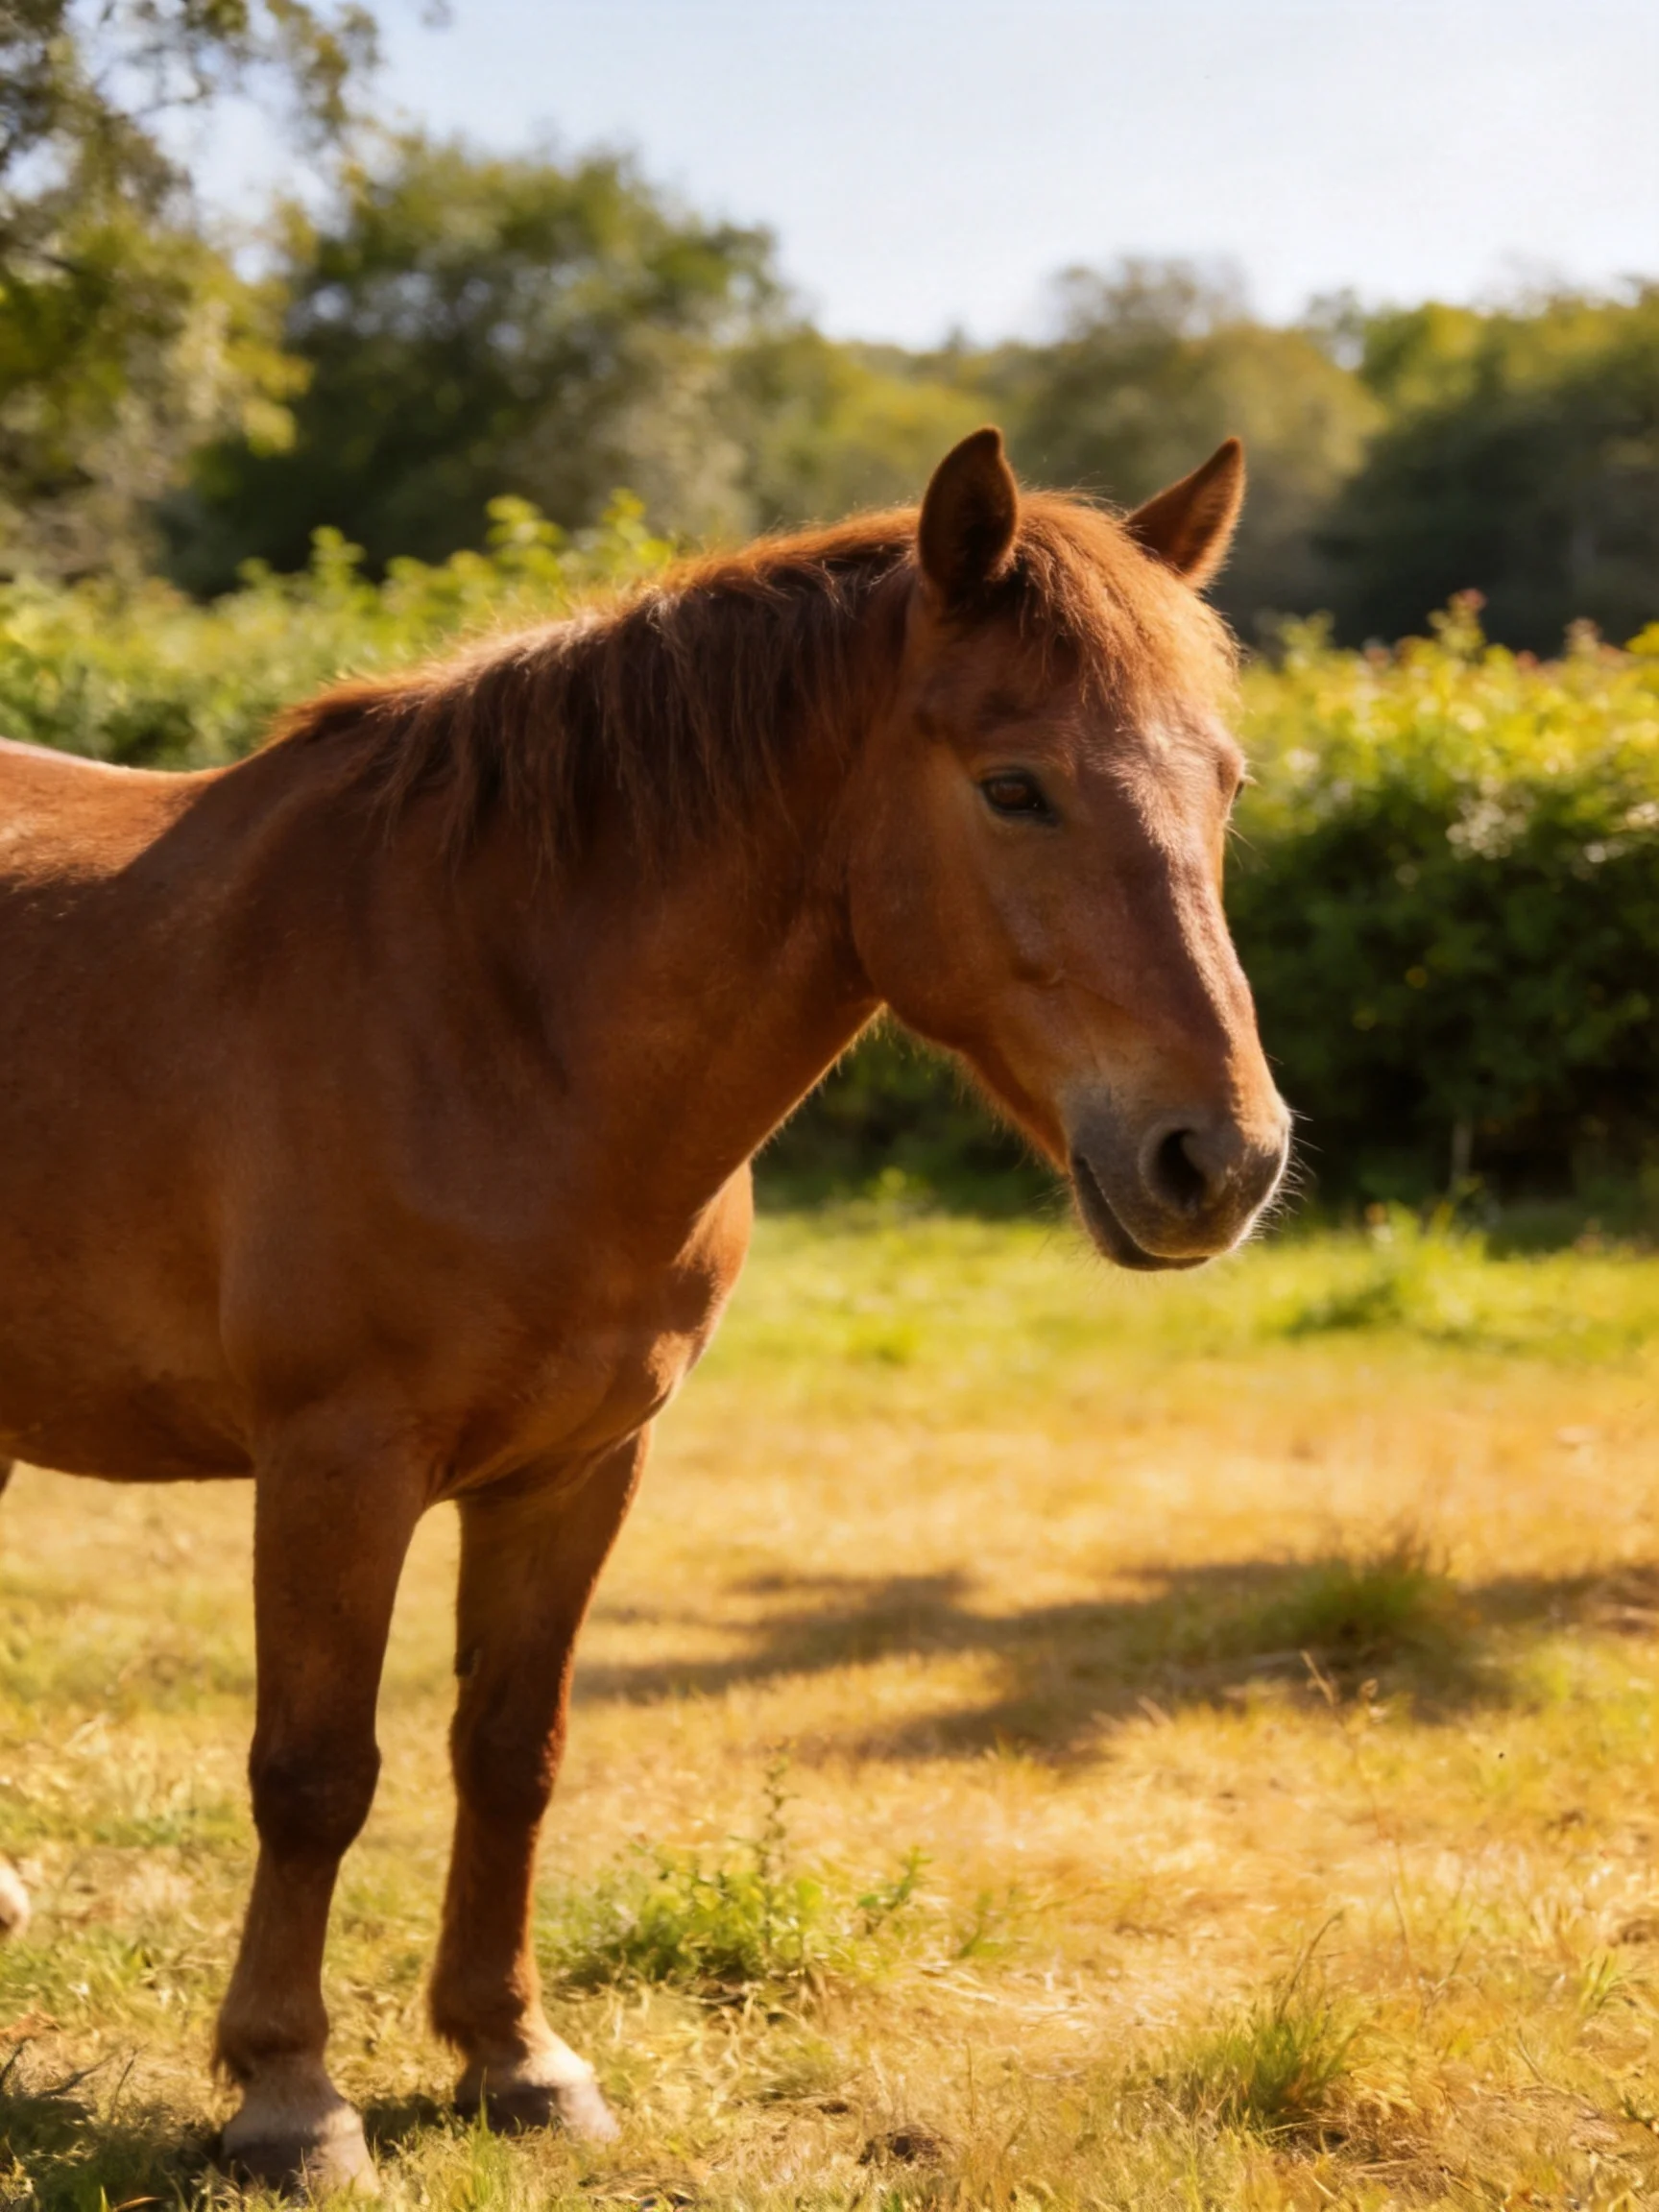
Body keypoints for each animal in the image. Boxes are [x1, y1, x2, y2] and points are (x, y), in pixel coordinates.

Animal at [0, 427, 1289, 2191]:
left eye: (1222, 783)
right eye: (1014, 784)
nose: (1219, 1159)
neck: (496, 1018)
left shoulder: (580, 1467)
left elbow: (510, 1751)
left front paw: (515, 2057)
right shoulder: (336, 1464)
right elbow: (316, 1773)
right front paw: (290, 2094)